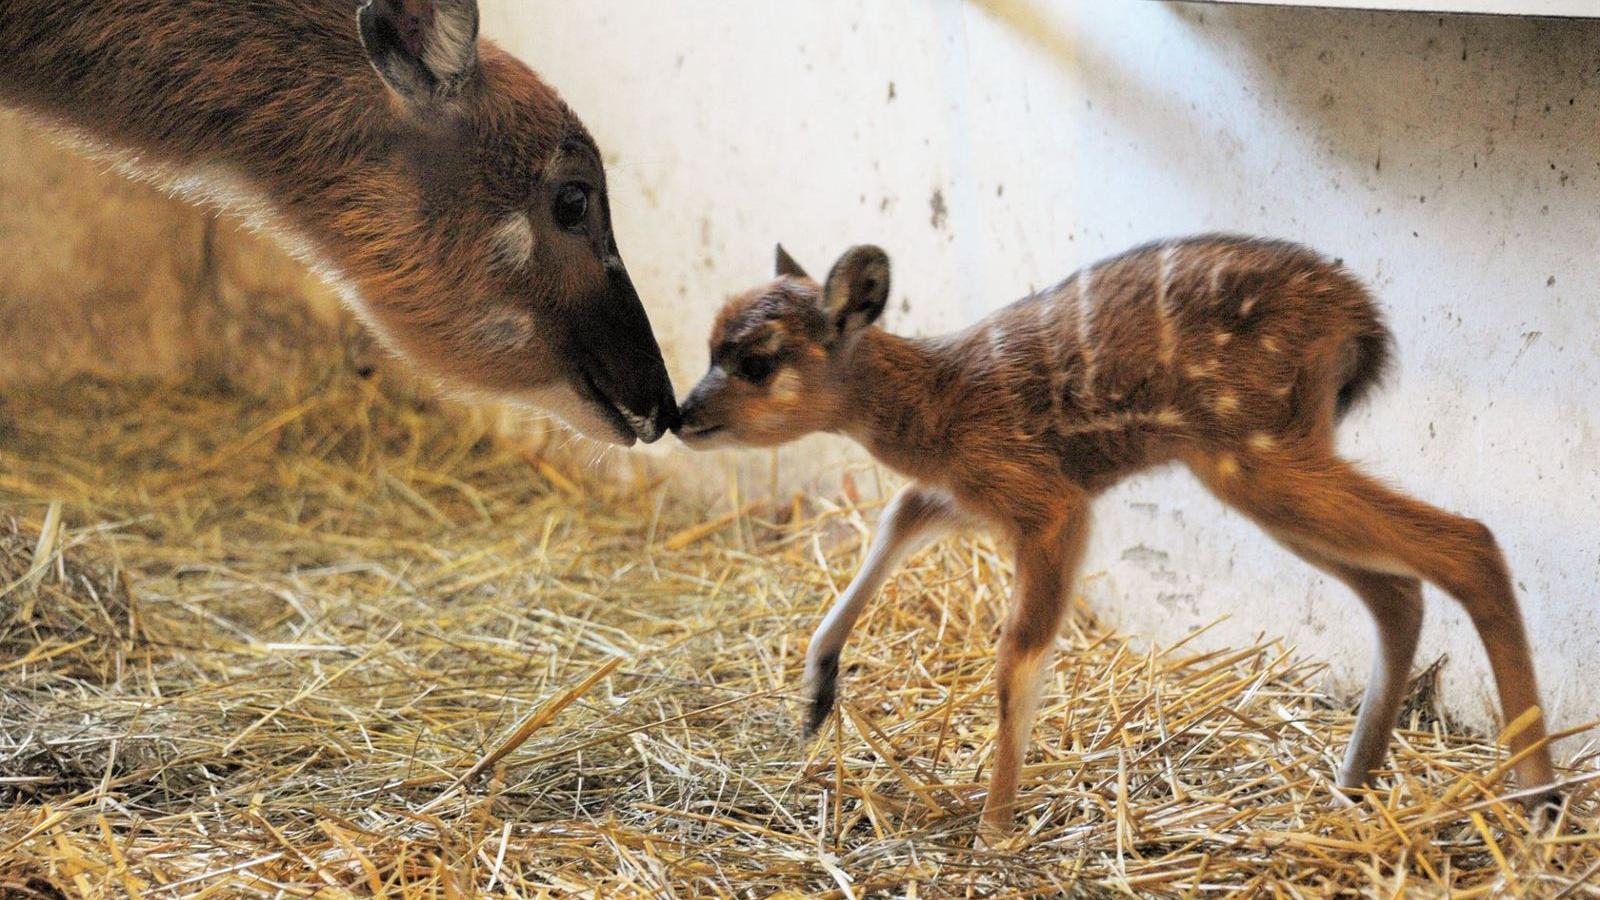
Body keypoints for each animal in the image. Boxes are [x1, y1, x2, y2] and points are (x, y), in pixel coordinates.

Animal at [672, 237, 1548, 832]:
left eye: (757, 360)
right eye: (710, 341)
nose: (681, 414)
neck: (940, 407)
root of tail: (1363, 326)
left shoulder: (1049, 501)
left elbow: (1017, 656)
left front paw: (993, 834)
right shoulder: (980, 490)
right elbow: (900, 515)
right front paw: (817, 691)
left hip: (1256, 453)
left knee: (1468, 543)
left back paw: (1537, 797)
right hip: (1260, 461)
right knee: (1399, 590)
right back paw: (1354, 780)